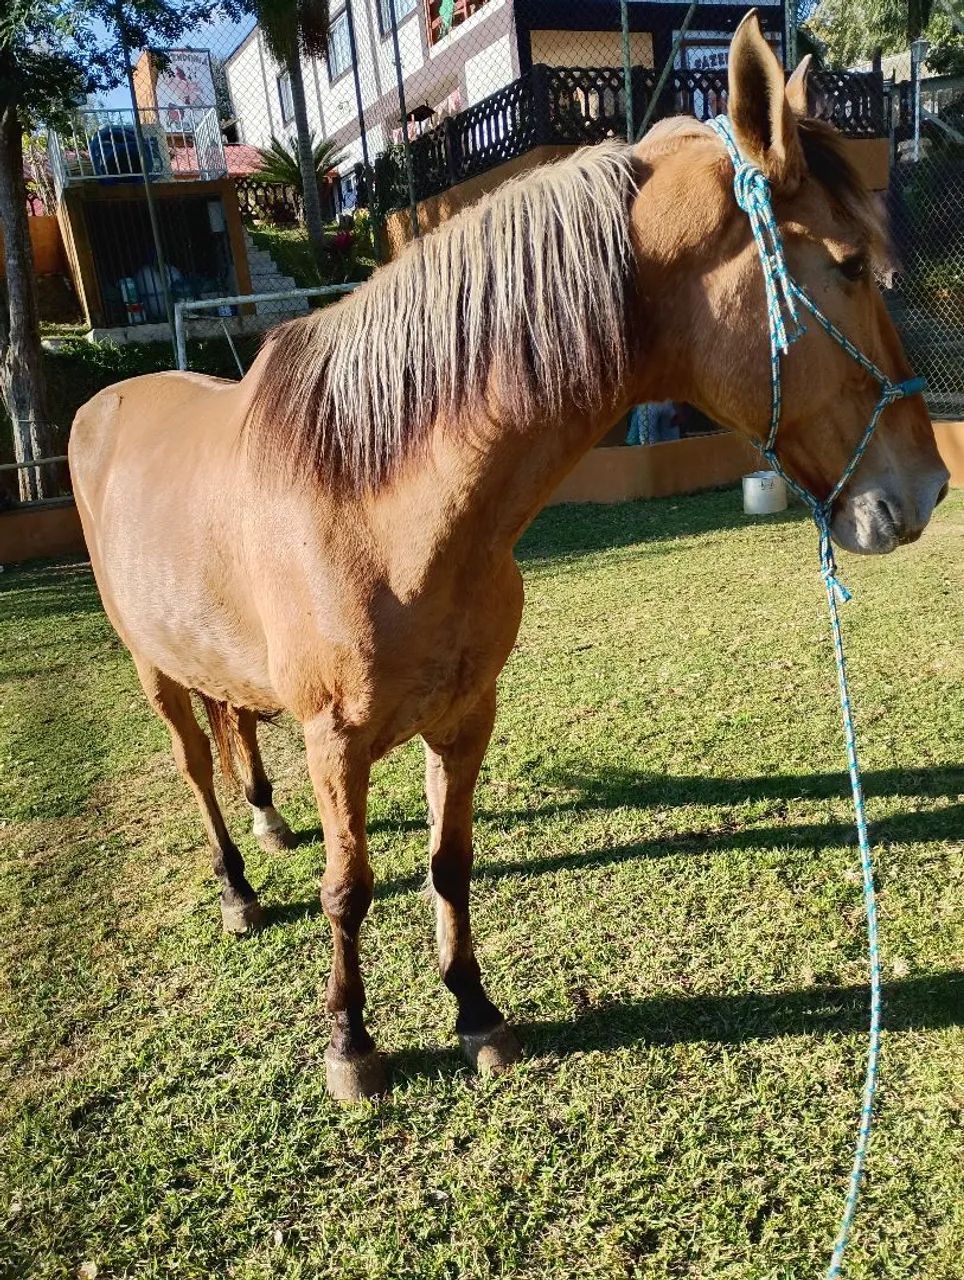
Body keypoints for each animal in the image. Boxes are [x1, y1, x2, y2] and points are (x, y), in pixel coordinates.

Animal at [69, 14, 948, 1101]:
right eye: (851, 265)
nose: (924, 490)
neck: (374, 510)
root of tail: (103, 404)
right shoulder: (334, 740)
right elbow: (347, 886)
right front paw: (350, 1042)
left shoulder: (465, 718)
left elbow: (448, 864)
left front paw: (474, 1010)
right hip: (150, 667)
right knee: (196, 768)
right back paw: (237, 885)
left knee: (235, 733)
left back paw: (269, 823)